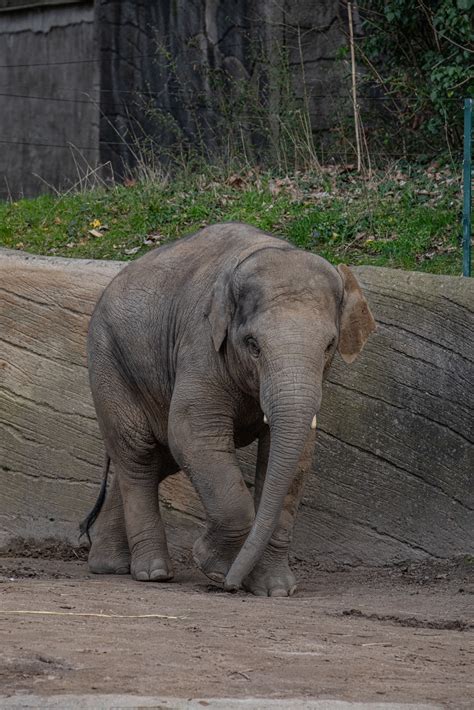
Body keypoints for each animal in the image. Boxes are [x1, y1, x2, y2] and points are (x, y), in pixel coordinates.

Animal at [82, 222, 378, 596]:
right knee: (139, 453)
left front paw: (275, 589)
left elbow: (295, 457)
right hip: (109, 362)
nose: (231, 586)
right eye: (253, 345)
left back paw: (109, 565)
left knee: (156, 459)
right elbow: (193, 434)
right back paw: (153, 573)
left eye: (329, 345)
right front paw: (214, 568)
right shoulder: (200, 343)